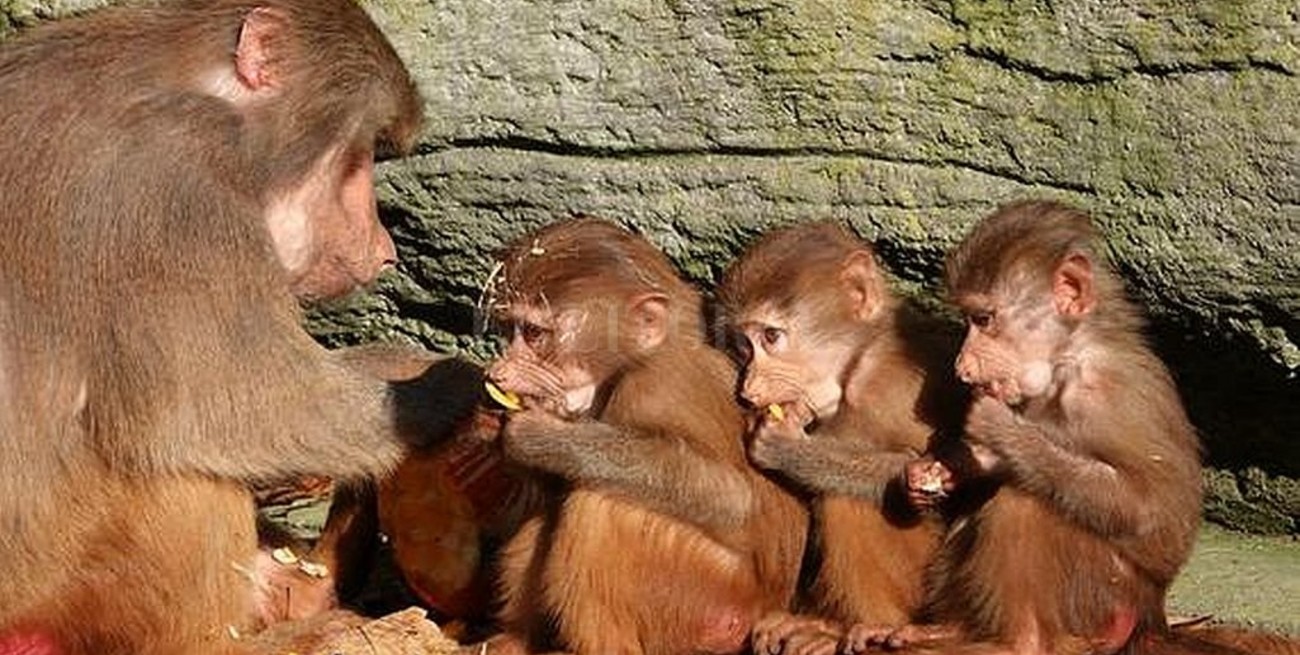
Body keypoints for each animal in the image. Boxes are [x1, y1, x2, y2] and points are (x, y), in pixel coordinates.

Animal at [0, 3, 482, 654]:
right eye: (356, 158)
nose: (386, 251)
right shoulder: (174, 189)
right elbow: (239, 405)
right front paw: (436, 383)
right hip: (51, 574)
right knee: (181, 465)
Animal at [463, 217, 808, 655]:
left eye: (535, 333)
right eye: (511, 330)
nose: (498, 373)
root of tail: (771, 606)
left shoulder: (655, 389)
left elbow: (730, 496)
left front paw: (538, 436)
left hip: (713, 609)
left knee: (602, 506)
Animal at [715, 222, 975, 655]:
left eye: (771, 336)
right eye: (743, 346)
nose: (749, 389)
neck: (856, 367)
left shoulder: (893, 389)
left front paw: (790, 450)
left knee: (847, 496)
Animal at [840, 200, 1215, 655]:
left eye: (983, 319)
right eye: (969, 319)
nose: (962, 366)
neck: (1067, 357)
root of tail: (1150, 616)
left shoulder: (1104, 394)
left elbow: (1151, 511)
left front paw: (1002, 430)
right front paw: (933, 472)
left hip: (1101, 595)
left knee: (1025, 501)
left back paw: (1022, 641)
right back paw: (948, 629)